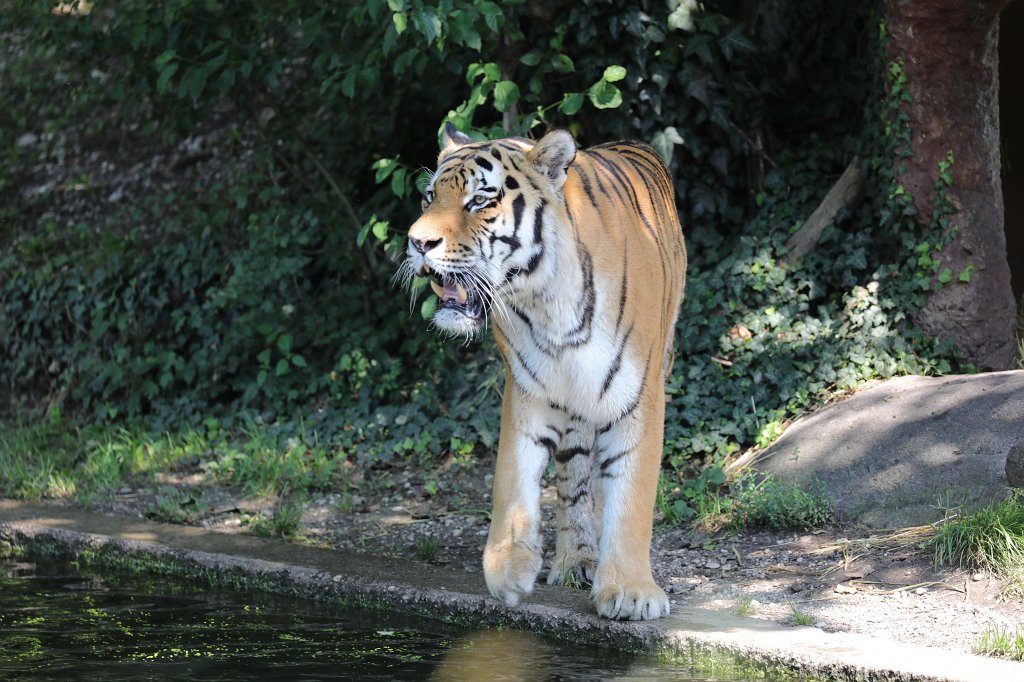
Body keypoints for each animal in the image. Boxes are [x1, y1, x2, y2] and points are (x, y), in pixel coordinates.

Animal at [400, 122, 687, 620]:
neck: (546, 298)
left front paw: (631, 592)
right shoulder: (528, 387)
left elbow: (632, 491)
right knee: (574, 478)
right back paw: (575, 561)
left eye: (480, 200)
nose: (418, 243)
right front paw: (508, 569)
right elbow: (512, 476)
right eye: (429, 197)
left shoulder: (640, 393)